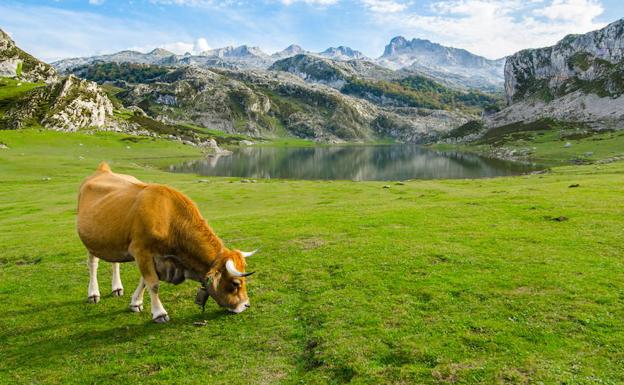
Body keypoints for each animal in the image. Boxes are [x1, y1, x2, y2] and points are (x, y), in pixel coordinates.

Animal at [76, 162, 256, 320]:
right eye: (235, 283)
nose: (246, 305)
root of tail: (103, 170)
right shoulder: (141, 251)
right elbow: (153, 283)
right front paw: (159, 313)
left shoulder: (154, 258)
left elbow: (144, 281)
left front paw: (136, 302)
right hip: (90, 240)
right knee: (93, 264)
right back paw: (93, 293)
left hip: (113, 239)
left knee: (115, 262)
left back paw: (117, 288)